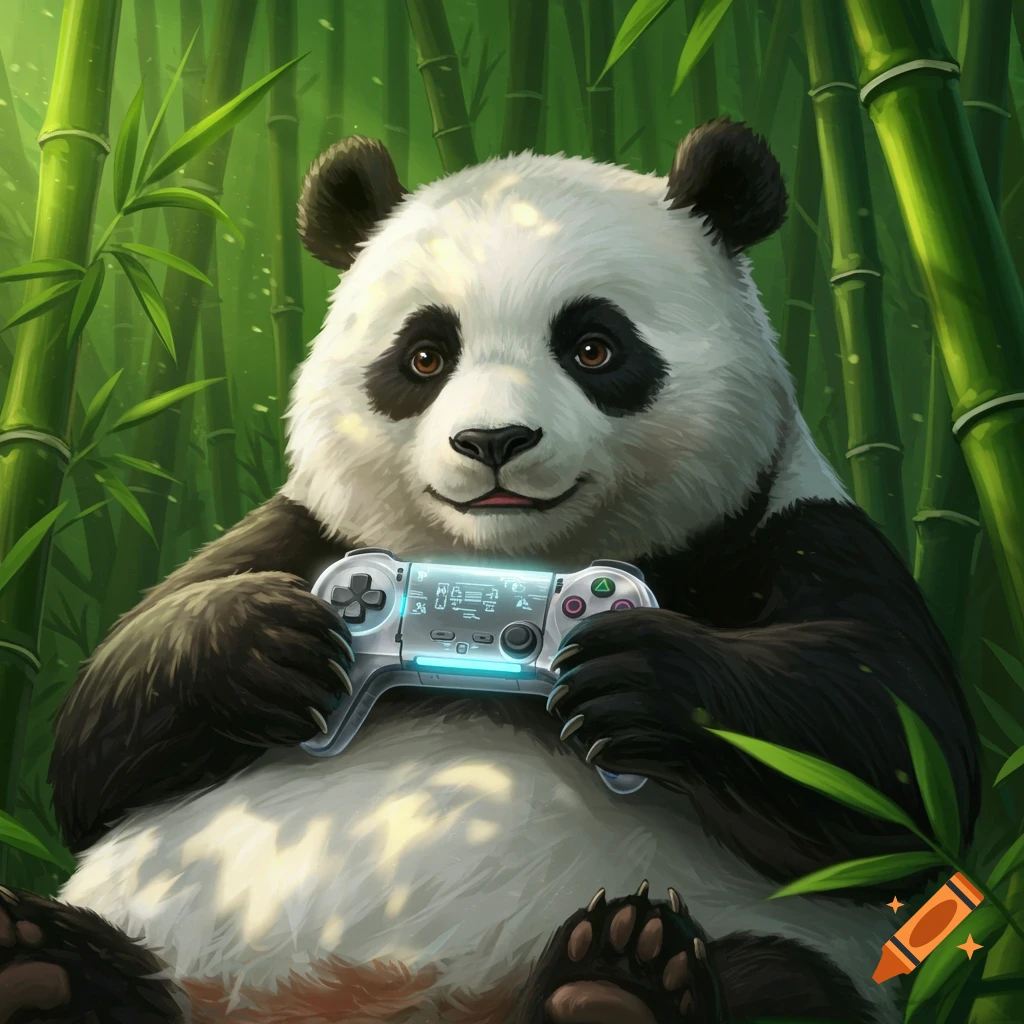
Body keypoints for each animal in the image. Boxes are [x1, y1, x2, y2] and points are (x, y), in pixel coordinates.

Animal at [0, 120, 979, 1024]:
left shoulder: (796, 529)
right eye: (425, 356)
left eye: (594, 347)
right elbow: (97, 732)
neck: (510, 565)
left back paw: (616, 979)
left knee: (776, 979)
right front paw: (271, 648)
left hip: (769, 936)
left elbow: (895, 757)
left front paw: (633, 676)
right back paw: (42, 961)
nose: (494, 441)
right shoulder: (309, 530)